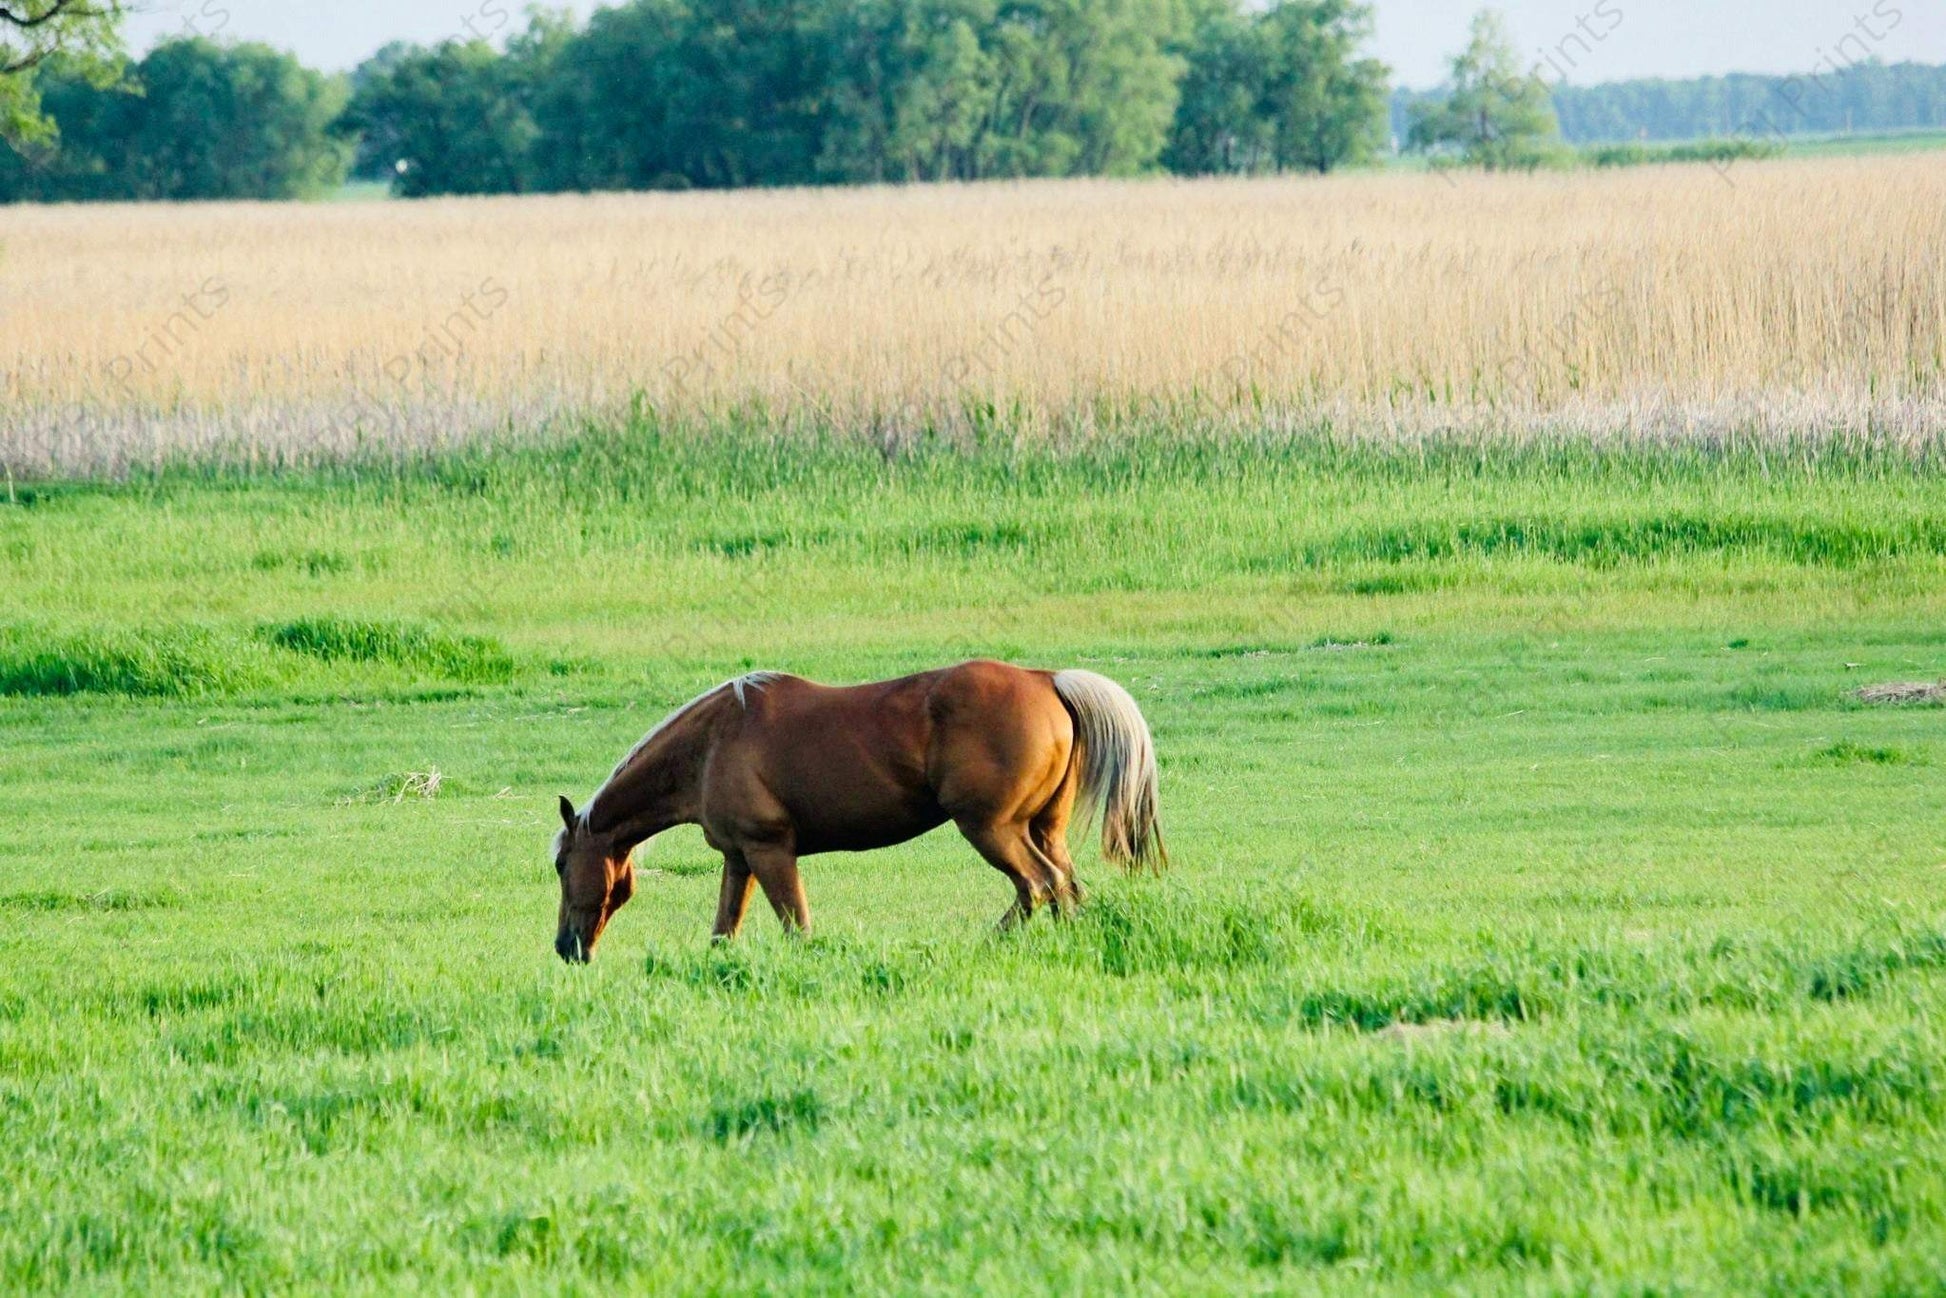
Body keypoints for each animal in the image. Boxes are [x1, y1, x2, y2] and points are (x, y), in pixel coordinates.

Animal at [548, 665, 1159, 961]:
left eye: (559, 866)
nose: (566, 948)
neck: (712, 744)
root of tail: (1047, 680)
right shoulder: (739, 859)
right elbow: (724, 932)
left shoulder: (771, 852)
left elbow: (797, 928)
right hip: (1042, 829)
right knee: (1064, 888)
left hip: (992, 829)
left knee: (1038, 885)